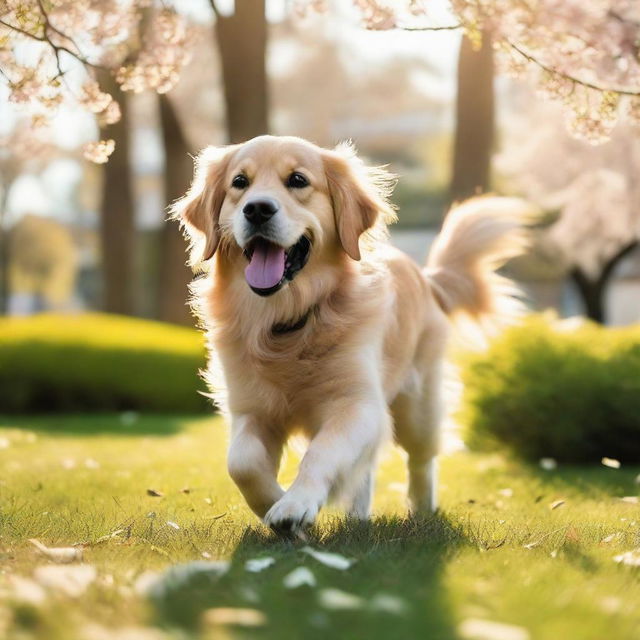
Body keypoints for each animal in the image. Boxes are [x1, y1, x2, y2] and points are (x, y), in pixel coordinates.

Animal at [172, 136, 528, 536]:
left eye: (298, 180)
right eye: (239, 182)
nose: (257, 209)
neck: (287, 321)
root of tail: (426, 276)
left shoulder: (358, 405)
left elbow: (322, 452)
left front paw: (295, 503)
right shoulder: (251, 408)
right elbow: (242, 463)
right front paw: (275, 503)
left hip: (417, 406)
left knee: (421, 460)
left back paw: (422, 512)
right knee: (365, 472)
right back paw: (357, 519)